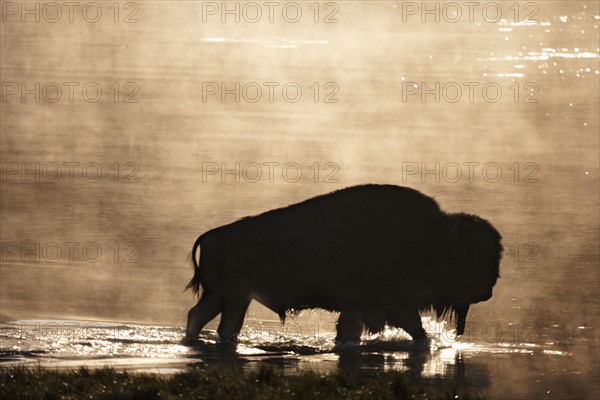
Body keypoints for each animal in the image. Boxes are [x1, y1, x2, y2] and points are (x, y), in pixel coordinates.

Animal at [183, 184, 502, 344]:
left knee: (205, 318)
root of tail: (210, 237)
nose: (487, 292)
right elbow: (416, 330)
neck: (433, 238)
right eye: (473, 258)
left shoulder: (363, 309)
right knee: (209, 321)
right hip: (231, 296)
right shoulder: (393, 306)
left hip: (231, 298)